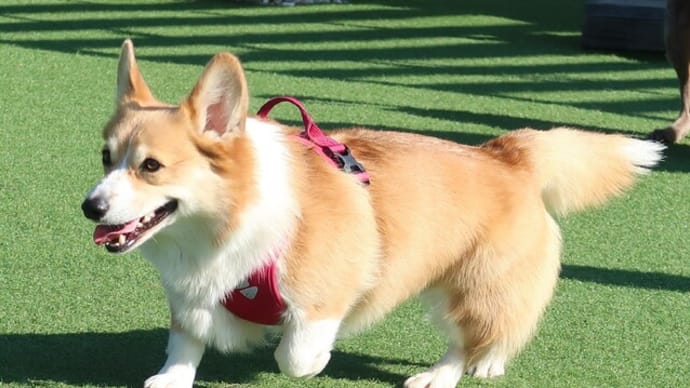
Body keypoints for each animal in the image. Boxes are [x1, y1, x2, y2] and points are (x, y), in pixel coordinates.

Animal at [80, 40, 660, 388]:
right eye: (106, 157)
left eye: (151, 166)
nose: (90, 207)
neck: (222, 222)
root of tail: (507, 153)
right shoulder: (192, 295)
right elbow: (186, 340)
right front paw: (172, 376)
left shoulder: (320, 301)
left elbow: (295, 356)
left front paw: (311, 360)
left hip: (471, 287)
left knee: (473, 337)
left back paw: (451, 372)